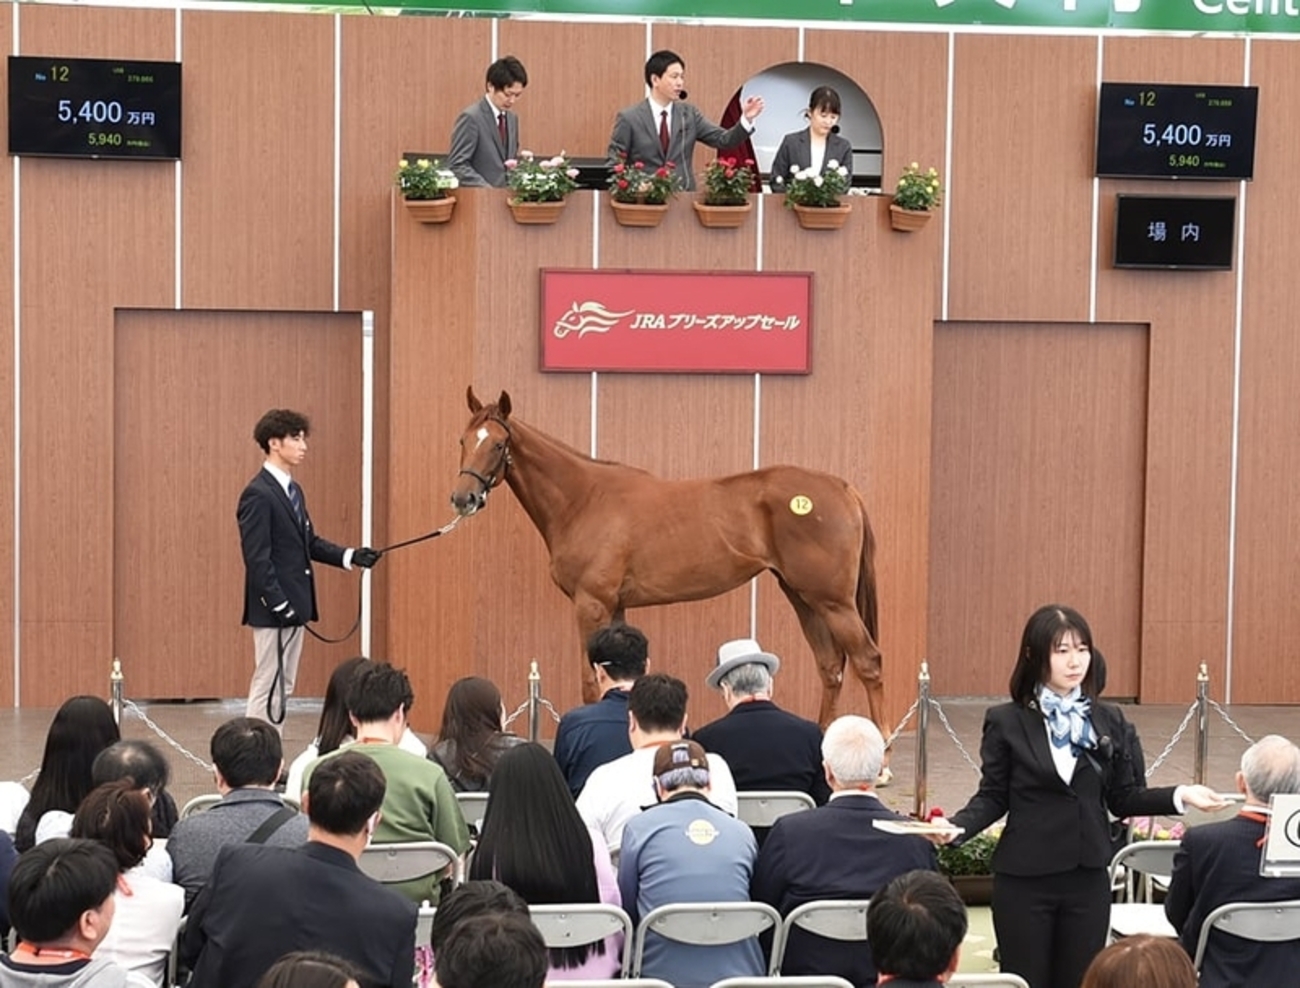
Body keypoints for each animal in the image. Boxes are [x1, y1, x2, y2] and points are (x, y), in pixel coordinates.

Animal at [449, 387, 884, 728]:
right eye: (464, 441)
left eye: (498, 445)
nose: (462, 498)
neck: (584, 500)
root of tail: (841, 487)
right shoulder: (615, 607)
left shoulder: (591, 604)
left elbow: (591, 682)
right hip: (803, 596)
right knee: (830, 666)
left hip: (832, 601)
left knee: (867, 661)